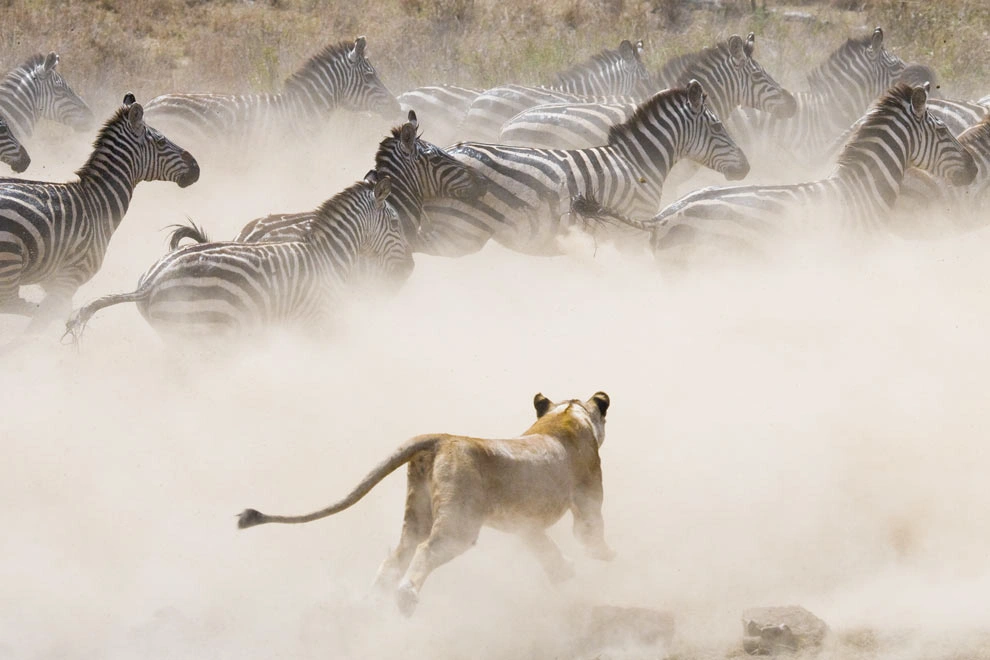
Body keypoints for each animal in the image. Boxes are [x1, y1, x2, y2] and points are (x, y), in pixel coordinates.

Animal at [237, 391, 614, 615]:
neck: (567, 414)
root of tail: (441, 438)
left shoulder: (524, 524)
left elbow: (543, 548)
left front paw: (564, 573)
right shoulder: (587, 497)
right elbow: (590, 533)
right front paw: (604, 557)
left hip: (417, 512)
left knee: (396, 556)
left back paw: (373, 603)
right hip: (459, 524)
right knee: (426, 550)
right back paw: (405, 599)